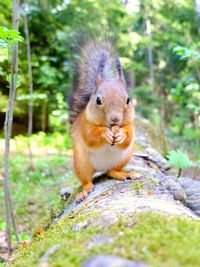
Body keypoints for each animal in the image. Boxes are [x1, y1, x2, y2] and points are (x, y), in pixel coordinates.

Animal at [68, 40, 140, 203]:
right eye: (98, 100)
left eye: (128, 99)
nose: (115, 119)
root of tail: (100, 168)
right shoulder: (86, 124)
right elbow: (90, 136)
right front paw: (104, 134)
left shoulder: (130, 124)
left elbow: (129, 135)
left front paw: (121, 134)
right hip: (81, 162)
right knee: (87, 180)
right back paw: (85, 191)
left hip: (125, 157)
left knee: (111, 171)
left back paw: (124, 174)